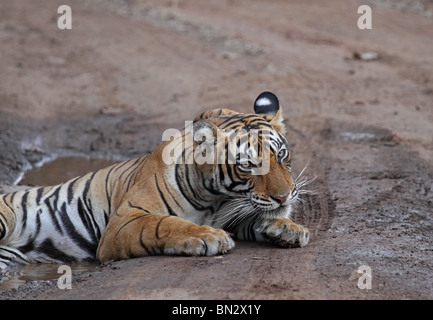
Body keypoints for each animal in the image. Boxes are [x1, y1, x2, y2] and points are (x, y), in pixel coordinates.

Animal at [0, 91, 310, 268]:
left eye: (282, 155)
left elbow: (258, 219)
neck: (217, 199)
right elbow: (164, 224)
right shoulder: (125, 220)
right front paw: (209, 237)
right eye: (247, 165)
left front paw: (288, 228)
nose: (285, 196)